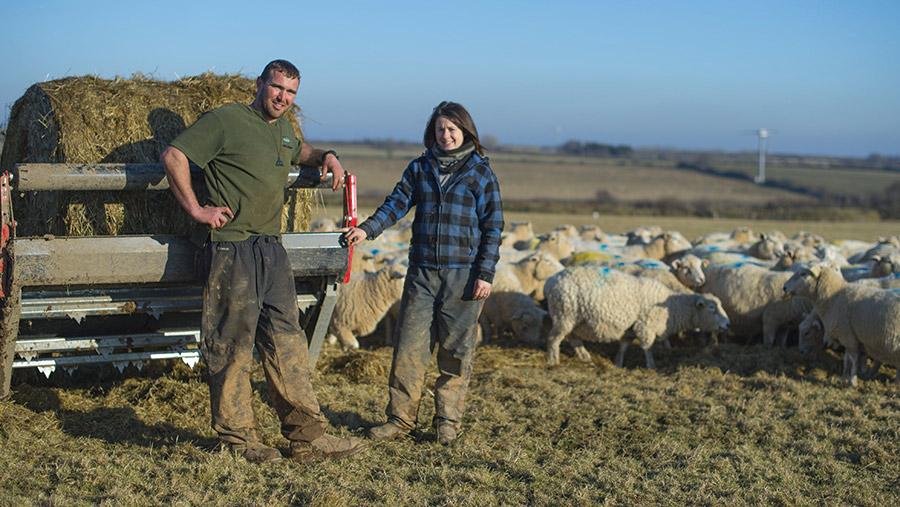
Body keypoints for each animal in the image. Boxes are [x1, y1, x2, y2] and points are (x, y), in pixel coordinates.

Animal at [540, 266, 732, 370]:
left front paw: (618, 363)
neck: (673, 307)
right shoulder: (645, 326)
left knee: (573, 338)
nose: (728, 324)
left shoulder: (631, 328)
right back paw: (554, 361)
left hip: (574, 319)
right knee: (553, 338)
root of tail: (550, 281)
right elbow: (648, 347)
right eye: (712, 308)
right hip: (564, 314)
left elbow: (624, 346)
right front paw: (651, 366)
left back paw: (584, 356)